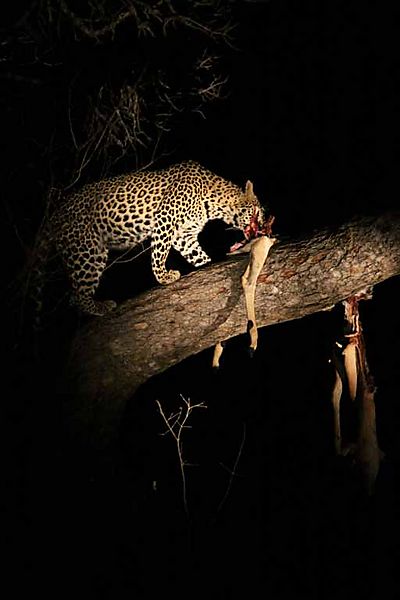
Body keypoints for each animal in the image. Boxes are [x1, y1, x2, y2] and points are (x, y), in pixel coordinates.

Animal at [33, 162, 266, 316]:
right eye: (259, 213)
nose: (265, 227)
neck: (215, 205)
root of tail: (56, 213)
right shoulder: (165, 220)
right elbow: (158, 254)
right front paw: (164, 277)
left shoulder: (184, 236)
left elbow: (198, 255)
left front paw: (209, 264)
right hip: (87, 250)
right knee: (78, 295)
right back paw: (101, 307)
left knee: (74, 296)